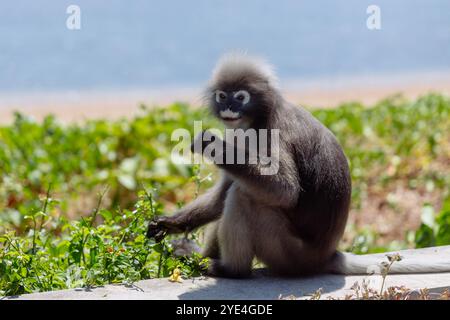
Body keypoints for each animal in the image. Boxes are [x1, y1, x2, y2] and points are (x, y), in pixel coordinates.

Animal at [148, 53, 450, 278]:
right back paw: (200, 257)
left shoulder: (271, 133)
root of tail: (325, 255)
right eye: (223, 96)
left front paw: (210, 143)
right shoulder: (241, 135)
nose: (229, 109)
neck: (260, 115)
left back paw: (231, 270)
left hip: (286, 252)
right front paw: (169, 223)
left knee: (245, 196)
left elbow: (285, 190)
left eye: (241, 97)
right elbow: (222, 194)